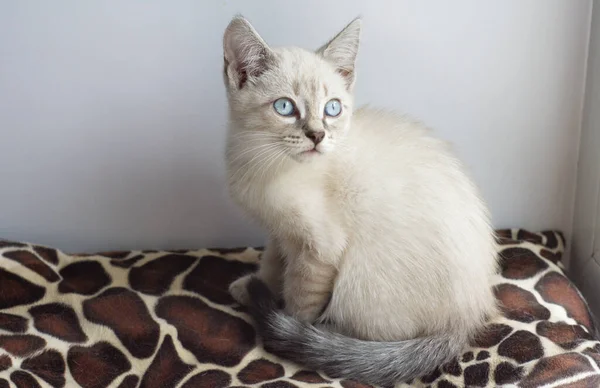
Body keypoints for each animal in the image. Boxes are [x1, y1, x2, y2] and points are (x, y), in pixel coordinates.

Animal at [223, 15, 500, 384]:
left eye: (332, 108)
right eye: (284, 107)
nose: (317, 136)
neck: (260, 160)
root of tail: (466, 320)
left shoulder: (319, 249)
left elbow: (299, 298)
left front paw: (291, 329)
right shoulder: (278, 231)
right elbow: (272, 261)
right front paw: (253, 285)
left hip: (360, 283)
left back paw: (328, 337)